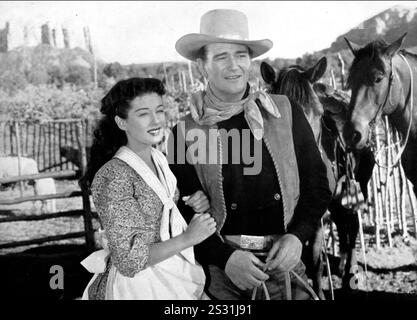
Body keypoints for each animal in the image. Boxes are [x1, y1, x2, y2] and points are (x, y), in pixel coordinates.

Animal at [260, 58, 374, 298]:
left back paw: (350, 272)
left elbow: (314, 259)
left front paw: (318, 293)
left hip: (358, 185)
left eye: (318, 114)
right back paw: (343, 264)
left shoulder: (317, 214)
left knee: (351, 225)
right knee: (341, 222)